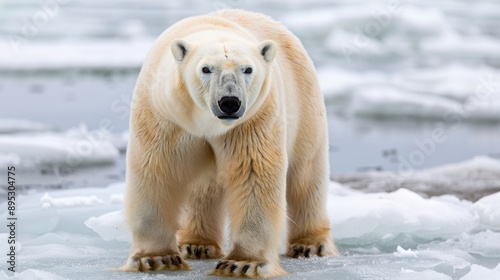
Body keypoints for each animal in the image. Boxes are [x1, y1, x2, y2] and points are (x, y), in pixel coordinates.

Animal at [121, 8, 338, 278]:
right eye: (206, 68)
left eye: (248, 69)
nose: (229, 102)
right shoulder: (164, 116)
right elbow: (156, 171)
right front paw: (155, 258)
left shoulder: (253, 120)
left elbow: (253, 174)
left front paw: (242, 263)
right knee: (204, 188)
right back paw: (197, 245)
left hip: (305, 102)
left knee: (305, 174)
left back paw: (309, 245)